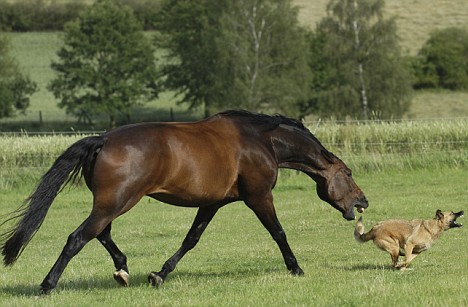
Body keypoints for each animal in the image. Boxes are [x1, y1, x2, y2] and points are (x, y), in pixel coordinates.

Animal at [0, 110, 368, 294]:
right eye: (348, 173)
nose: (363, 201)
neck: (261, 140)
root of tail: (102, 140)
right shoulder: (258, 196)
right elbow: (278, 233)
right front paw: (296, 268)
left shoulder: (213, 203)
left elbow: (191, 239)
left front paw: (159, 275)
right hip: (116, 202)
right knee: (78, 237)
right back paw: (47, 285)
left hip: (111, 202)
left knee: (101, 234)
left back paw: (123, 271)